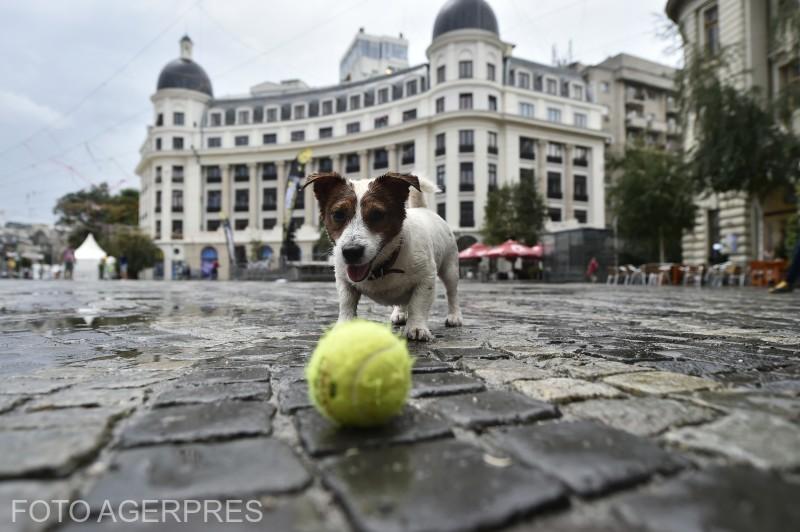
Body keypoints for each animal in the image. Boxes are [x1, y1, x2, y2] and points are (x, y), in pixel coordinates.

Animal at [300, 172, 462, 342]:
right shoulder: (344, 281)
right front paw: (344, 326)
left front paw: (416, 327)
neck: (383, 265)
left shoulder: (426, 279)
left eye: (377, 215)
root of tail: (422, 208)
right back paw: (400, 313)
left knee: (452, 293)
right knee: (403, 300)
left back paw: (454, 316)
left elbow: (418, 305)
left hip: (450, 270)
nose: (351, 252)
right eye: (338, 215)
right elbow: (346, 304)